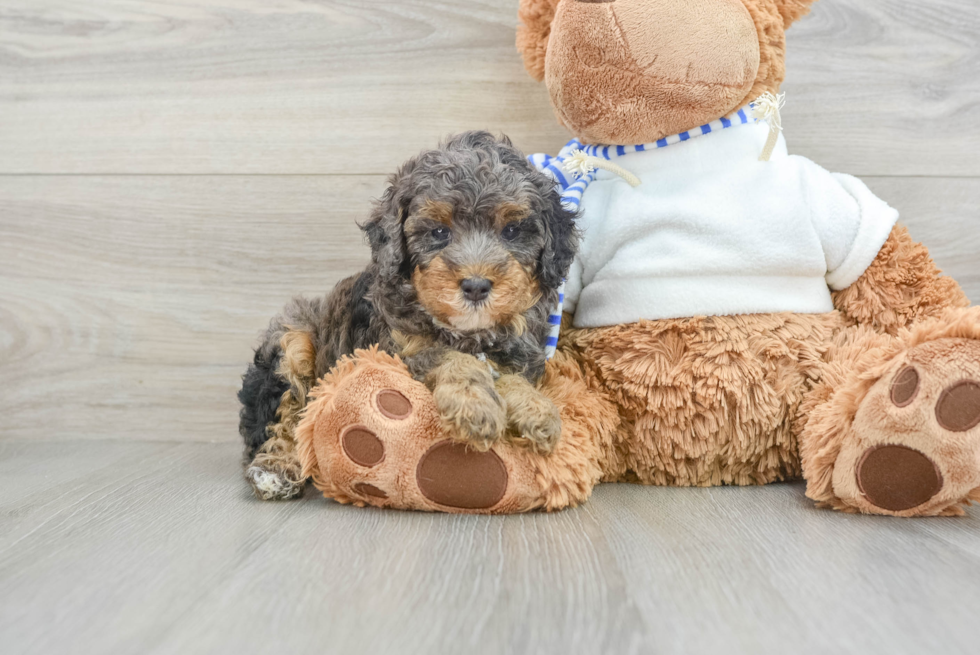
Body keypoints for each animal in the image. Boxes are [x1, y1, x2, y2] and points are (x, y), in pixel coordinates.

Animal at [236, 133, 580, 502]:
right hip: (295, 341)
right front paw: (475, 406)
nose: (475, 286)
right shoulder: (397, 351)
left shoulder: (521, 353)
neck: (468, 333)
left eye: (512, 231)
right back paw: (275, 470)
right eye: (439, 233)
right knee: (284, 416)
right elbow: (450, 357)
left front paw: (536, 410)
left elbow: (512, 377)